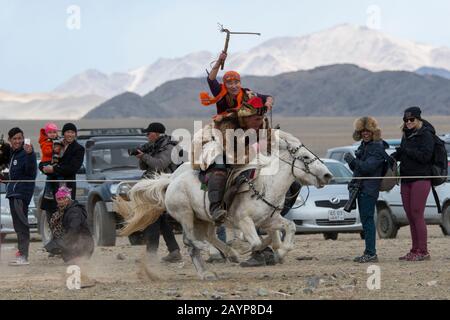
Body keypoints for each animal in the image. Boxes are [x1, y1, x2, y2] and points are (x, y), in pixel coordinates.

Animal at [121, 130, 332, 280]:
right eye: (305, 157)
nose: (327, 175)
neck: (266, 185)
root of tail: (171, 180)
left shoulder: (267, 220)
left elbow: (290, 227)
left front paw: (279, 251)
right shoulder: (244, 221)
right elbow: (255, 242)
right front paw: (247, 248)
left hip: (205, 218)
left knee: (207, 237)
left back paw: (216, 264)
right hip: (185, 215)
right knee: (191, 241)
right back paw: (214, 255)